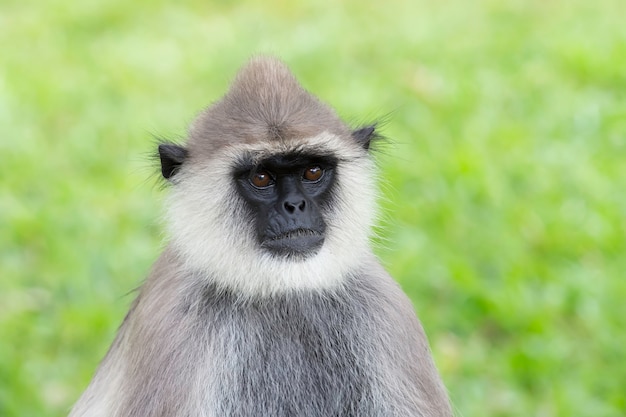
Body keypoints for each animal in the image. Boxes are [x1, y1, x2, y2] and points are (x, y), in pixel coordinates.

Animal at [68, 56, 450, 416]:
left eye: (313, 171)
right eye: (261, 178)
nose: (295, 205)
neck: (281, 290)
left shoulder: (384, 309)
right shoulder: (174, 320)